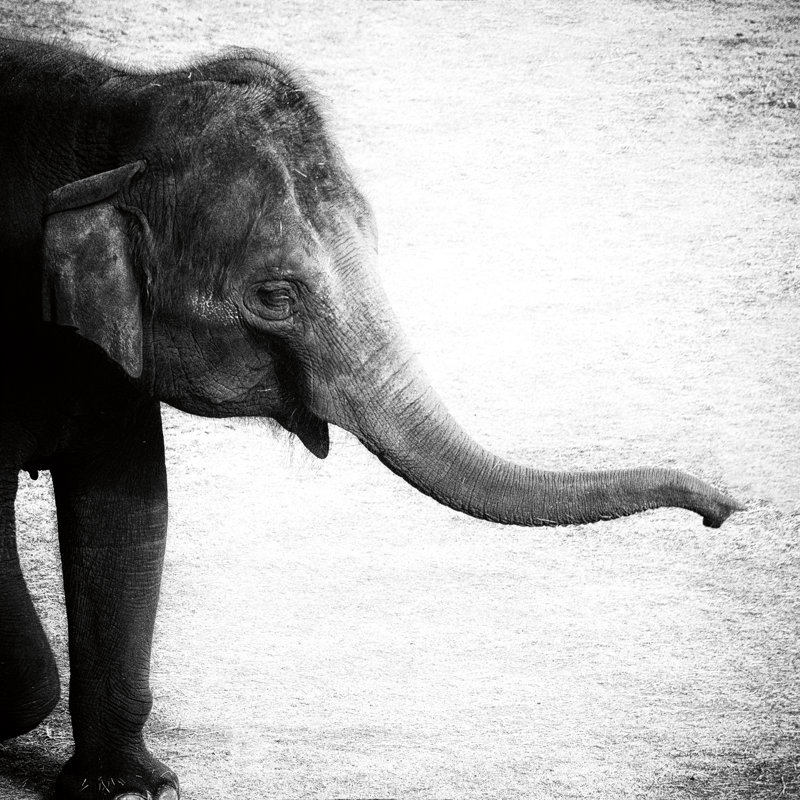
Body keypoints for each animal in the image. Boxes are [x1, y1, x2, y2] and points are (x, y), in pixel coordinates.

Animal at [0, 38, 741, 800]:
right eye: (276, 295)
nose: (724, 509)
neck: (117, 107)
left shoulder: (112, 356)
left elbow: (130, 516)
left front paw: (134, 788)